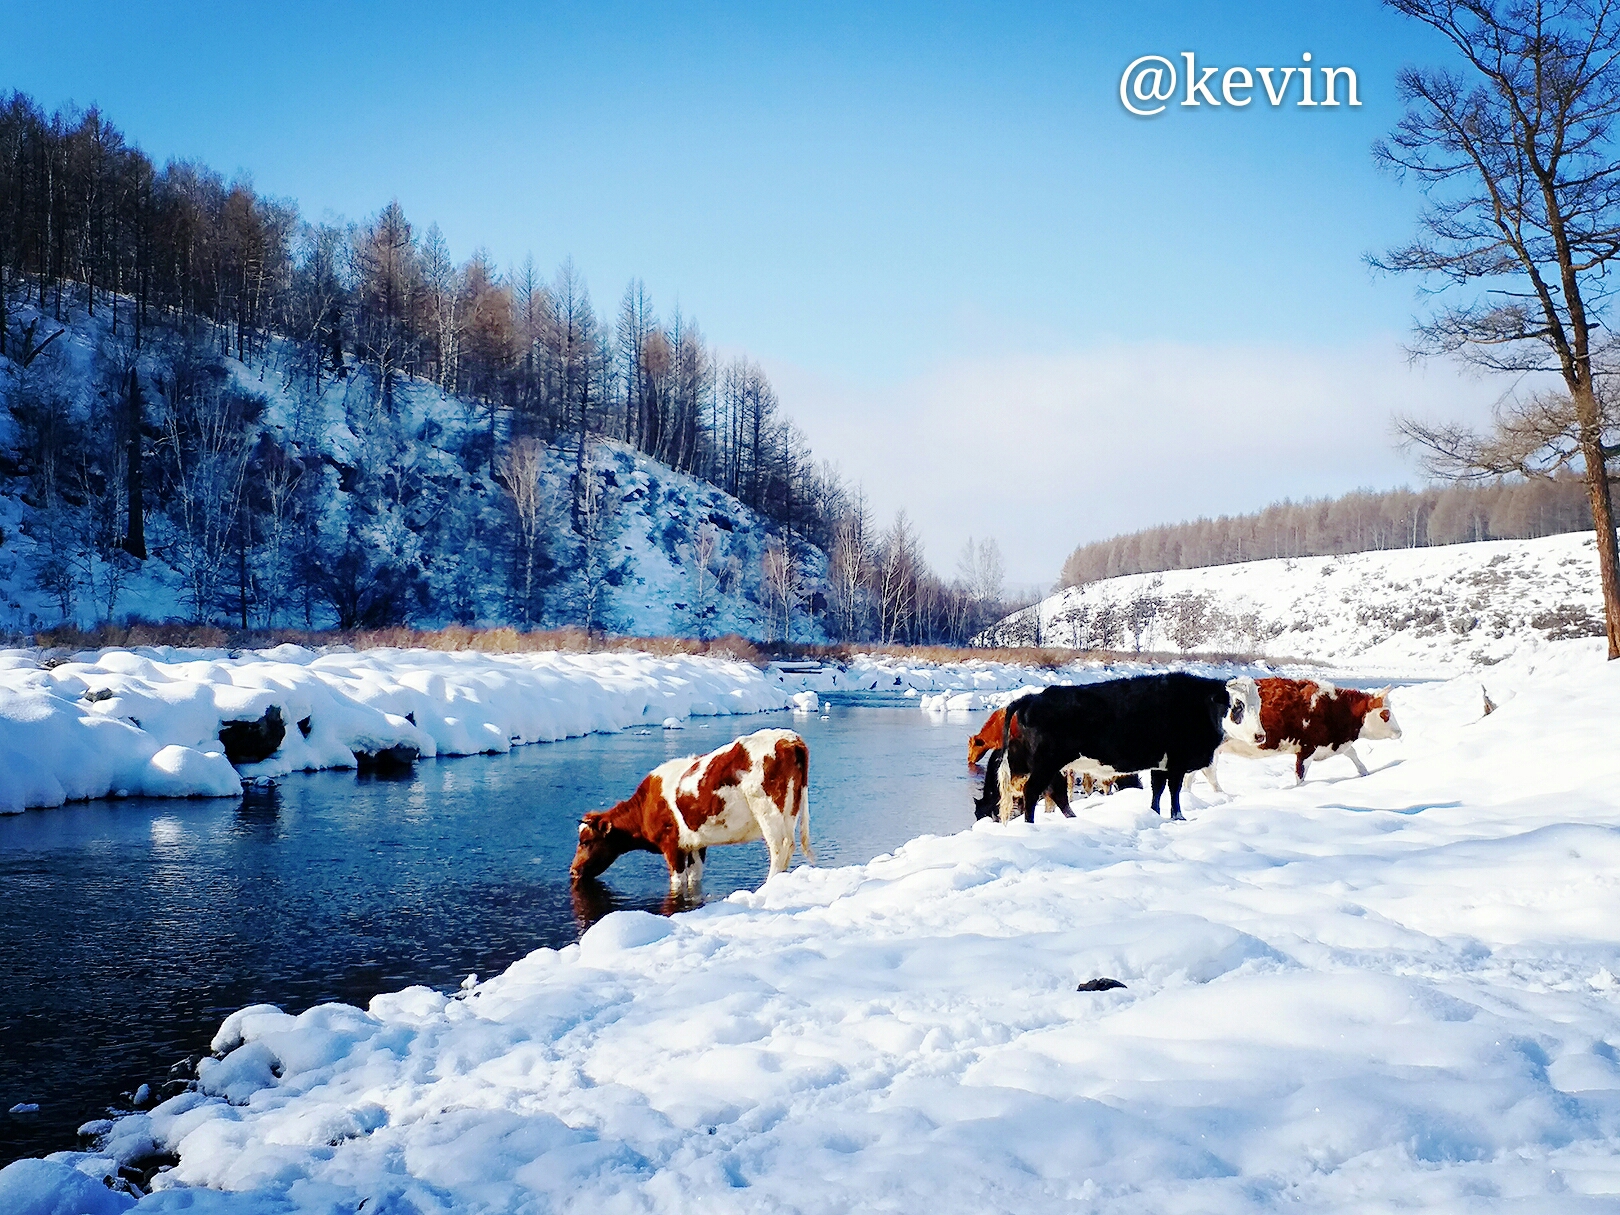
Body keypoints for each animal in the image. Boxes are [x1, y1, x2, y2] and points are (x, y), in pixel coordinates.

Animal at [576, 729, 816, 900]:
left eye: (586, 841)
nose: (573, 870)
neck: (645, 805)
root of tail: (789, 739)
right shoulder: (696, 845)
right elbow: (695, 879)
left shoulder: (671, 845)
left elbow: (677, 881)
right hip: (790, 810)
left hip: (768, 809)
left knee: (780, 847)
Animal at [991, 677, 1270, 829]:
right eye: (1237, 705)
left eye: (1257, 704)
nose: (1260, 736)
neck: (1198, 705)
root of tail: (1033, 697)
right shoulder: (1177, 761)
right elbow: (1174, 791)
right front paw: (1178, 817)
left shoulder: (1161, 763)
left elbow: (1157, 789)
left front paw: (1155, 814)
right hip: (1045, 763)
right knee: (1033, 792)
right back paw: (1030, 826)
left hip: (1053, 765)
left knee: (1057, 793)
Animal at [1218, 680, 1399, 784]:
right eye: (1386, 713)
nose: (1400, 732)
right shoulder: (1307, 748)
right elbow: (1300, 776)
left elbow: (1353, 754)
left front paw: (1365, 773)